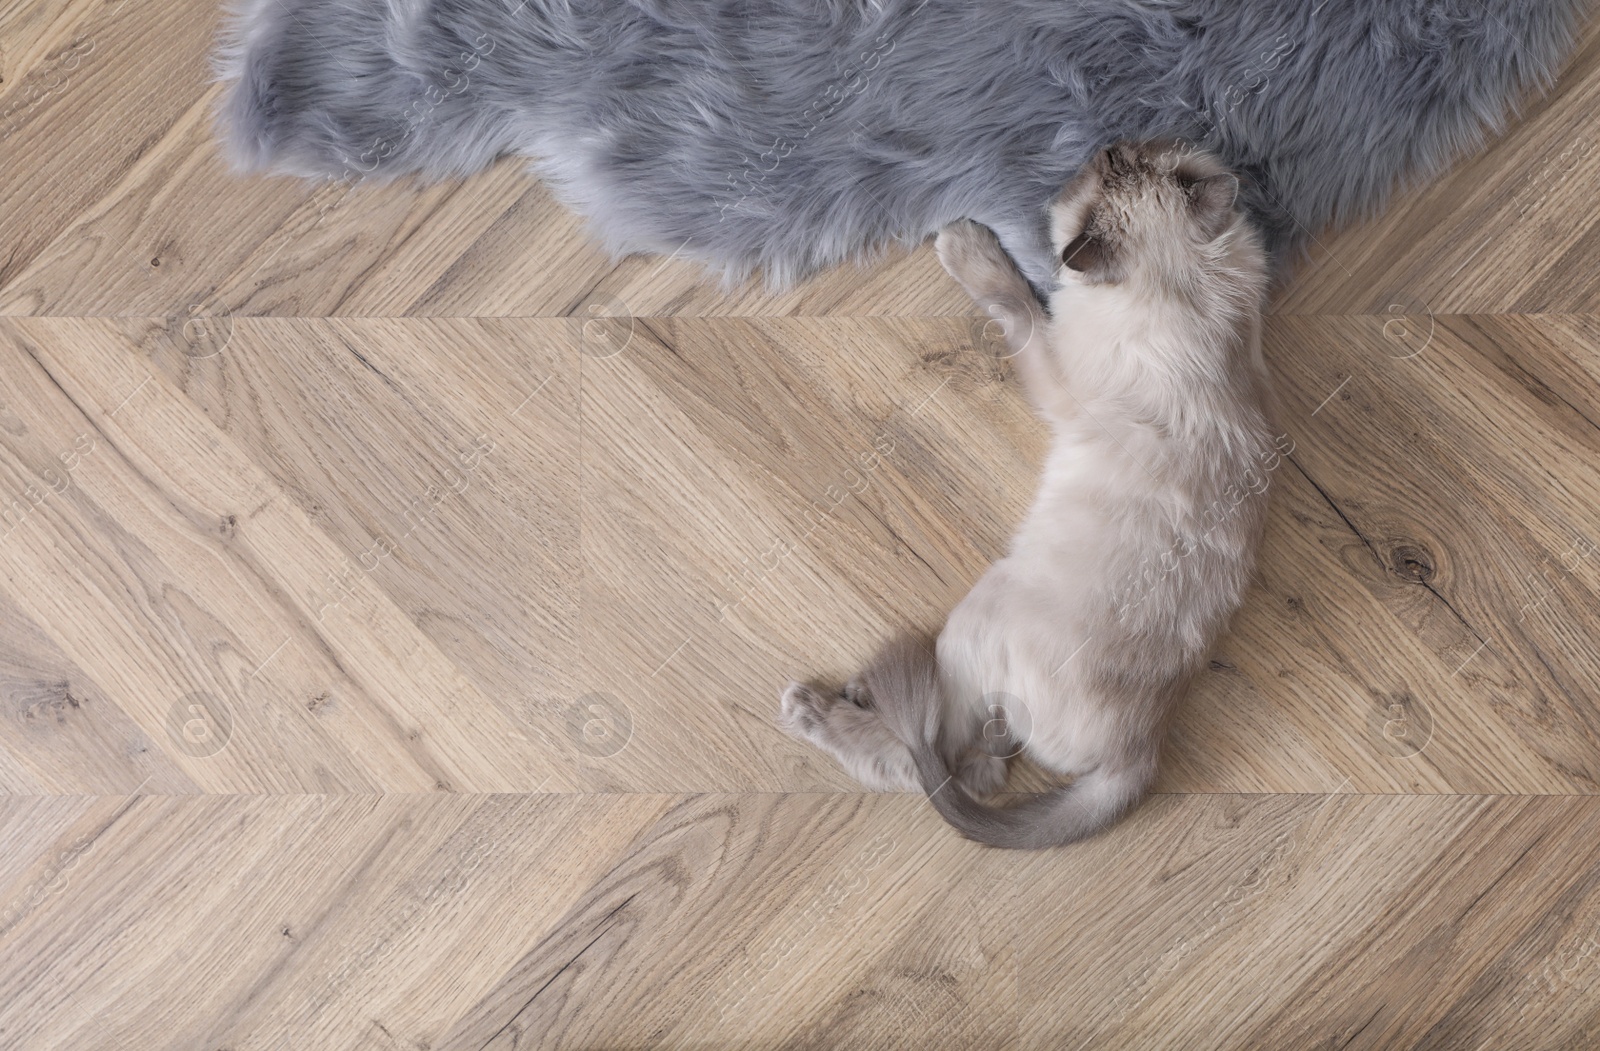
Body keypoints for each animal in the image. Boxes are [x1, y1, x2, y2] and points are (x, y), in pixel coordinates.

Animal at [780, 141, 1280, 844]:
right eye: (1128, 156)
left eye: (1106, 170)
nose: (1106, 144)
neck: (1193, 292)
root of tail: (1137, 754)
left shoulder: (1057, 372)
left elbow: (1016, 299)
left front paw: (966, 245)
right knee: (981, 766)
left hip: (981, 612)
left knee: (927, 760)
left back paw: (815, 711)